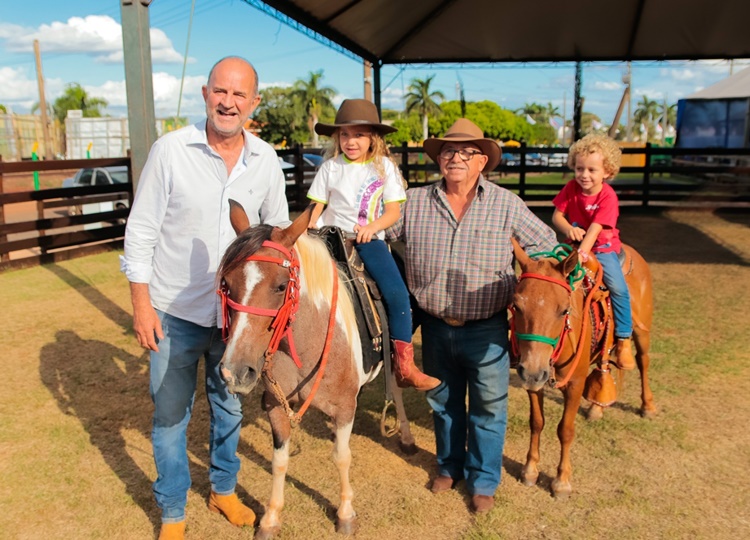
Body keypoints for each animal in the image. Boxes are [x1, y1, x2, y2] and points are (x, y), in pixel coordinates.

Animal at [217, 202, 418, 540]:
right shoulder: (275, 405)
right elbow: (279, 460)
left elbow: (341, 457)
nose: (235, 372)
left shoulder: (345, 406)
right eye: (227, 285)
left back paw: (404, 435)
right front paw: (271, 517)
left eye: (281, 286)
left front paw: (346, 514)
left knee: (398, 380)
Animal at [512, 240, 656, 498]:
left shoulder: (575, 385)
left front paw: (561, 481)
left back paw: (647, 406)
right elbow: (536, 422)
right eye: (517, 306)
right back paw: (597, 408)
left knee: (643, 362)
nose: (533, 371)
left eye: (563, 310)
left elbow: (565, 430)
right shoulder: (533, 382)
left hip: (642, 333)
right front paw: (530, 470)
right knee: (604, 367)